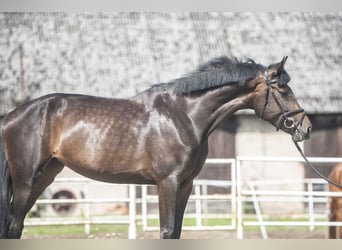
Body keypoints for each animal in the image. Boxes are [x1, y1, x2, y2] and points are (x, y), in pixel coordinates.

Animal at [0, 55, 312, 237]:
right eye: (283, 89)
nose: (306, 128)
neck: (184, 115)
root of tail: (11, 116)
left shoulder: (185, 185)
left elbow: (176, 232)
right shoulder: (167, 183)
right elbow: (166, 230)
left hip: (45, 176)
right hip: (25, 180)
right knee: (14, 225)